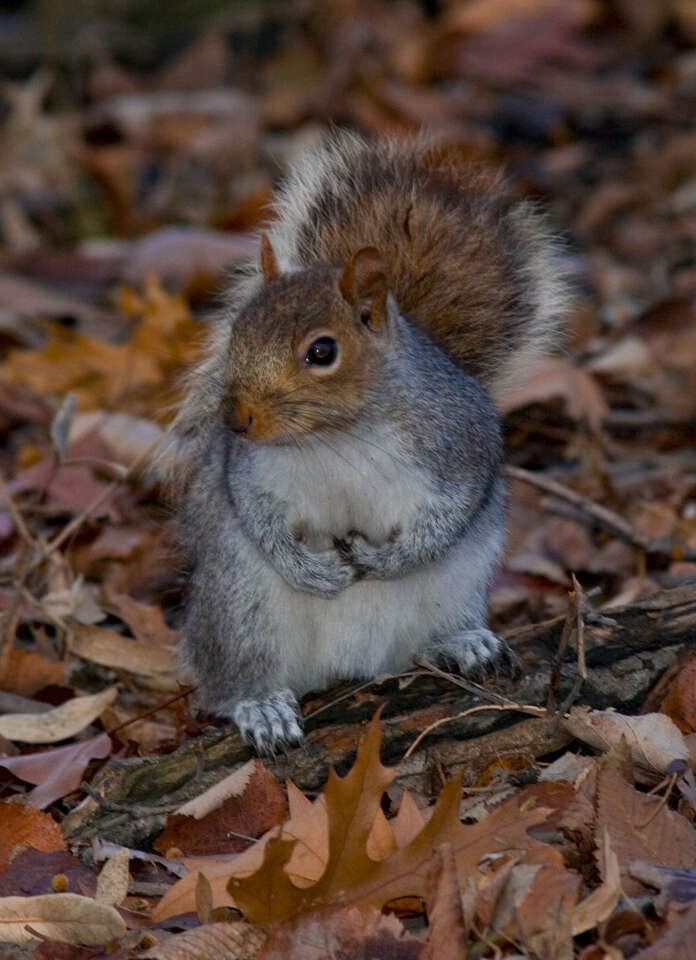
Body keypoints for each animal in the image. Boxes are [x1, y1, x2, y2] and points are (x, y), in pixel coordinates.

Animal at [170, 131, 572, 752]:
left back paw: (464, 642)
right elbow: (256, 515)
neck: (337, 436)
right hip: (238, 611)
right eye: (237, 330)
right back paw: (260, 706)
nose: (235, 419)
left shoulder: (459, 445)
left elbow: (448, 517)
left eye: (322, 351)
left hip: (458, 584)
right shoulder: (250, 470)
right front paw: (311, 571)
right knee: (230, 679)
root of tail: (346, 665)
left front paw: (385, 559)